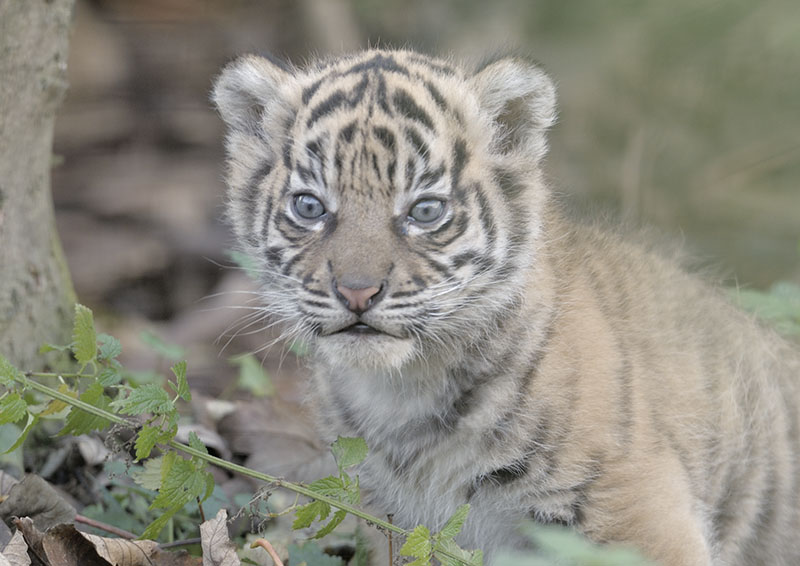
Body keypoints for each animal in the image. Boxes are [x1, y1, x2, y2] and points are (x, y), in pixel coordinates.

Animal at [212, 48, 800, 565]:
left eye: (425, 211)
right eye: (310, 207)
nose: (358, 292)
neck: (403, 391)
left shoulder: (633, 511)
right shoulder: (396, 521)